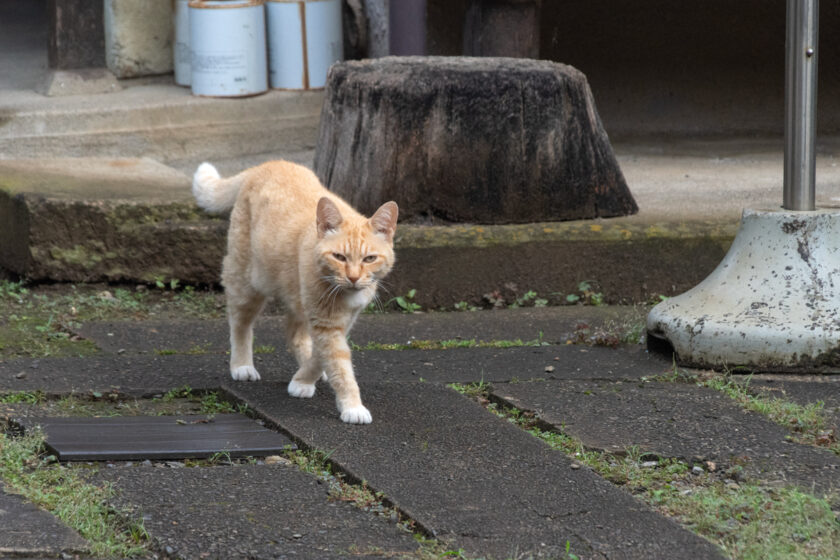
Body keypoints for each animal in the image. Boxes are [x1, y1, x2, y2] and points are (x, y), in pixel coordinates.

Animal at [192, 162, 398, 424]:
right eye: (339, 257)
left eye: (369, 259)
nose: (353, 277)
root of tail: (267, 165)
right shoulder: (326, 323)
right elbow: (338, 364)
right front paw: (351, 406)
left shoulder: (342, 319)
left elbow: (323, 356)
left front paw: (304, 379)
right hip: (247, 283)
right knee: (240, 325)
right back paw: (241, 365)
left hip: (295, 297)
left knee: (293, 333)